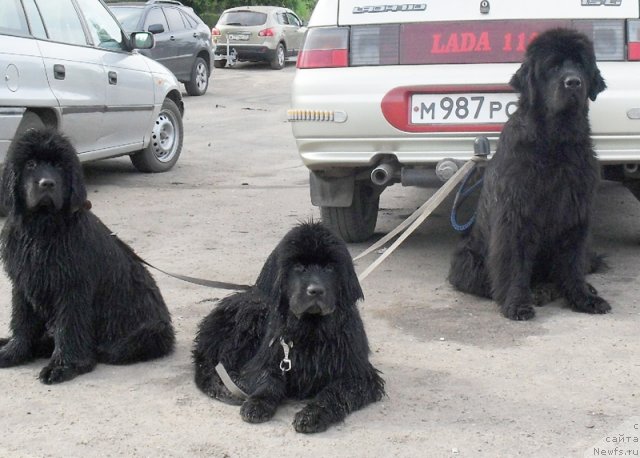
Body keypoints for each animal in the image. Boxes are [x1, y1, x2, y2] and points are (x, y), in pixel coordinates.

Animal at [0, 129, 175, 382]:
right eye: (30, 164)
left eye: (59, 166)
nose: (47, 183)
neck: (42, 229)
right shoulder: (23, 283)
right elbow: (22, 321)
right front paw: (14, 352)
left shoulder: (71, 288)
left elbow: (68, 328)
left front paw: (63, 366)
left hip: (149, 333)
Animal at [192, 222, 384, 432]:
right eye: (298, 267)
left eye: (329, 267)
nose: (316, 290)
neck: (311, 329)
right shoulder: (268, 359)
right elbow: (267, 379)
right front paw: (257, 403)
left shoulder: (357, 375)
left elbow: (334, 393)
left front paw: (312, 415)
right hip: (250, 316)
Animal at [448, 28, 612, 320]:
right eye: (553, 66)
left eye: (581, 64)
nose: (573, 83)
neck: (557, 143)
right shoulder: (516, 213)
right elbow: (514, 261)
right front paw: (517, 303)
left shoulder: (576, 213)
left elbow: (572, 262)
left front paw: (583, 297)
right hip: (466, 256)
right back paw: (535, 291)